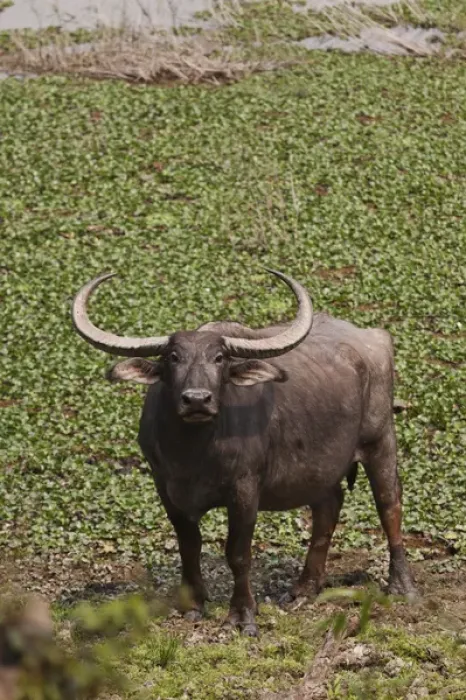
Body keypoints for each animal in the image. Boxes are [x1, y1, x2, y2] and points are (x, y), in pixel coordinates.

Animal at [72, 269, 416, 636]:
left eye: (219, 358)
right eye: (173, 358)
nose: (197, 400)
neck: (193, 456)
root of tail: (374, 337)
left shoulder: (245, 488)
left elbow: (237, 554)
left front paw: (242, 614)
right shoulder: (165, 487)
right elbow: (189, 547)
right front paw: (193, 604)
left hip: (381, 439)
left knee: (389, 504)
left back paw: (402, 586)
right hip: (321, 467)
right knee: (328, 505)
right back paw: (305, 587)